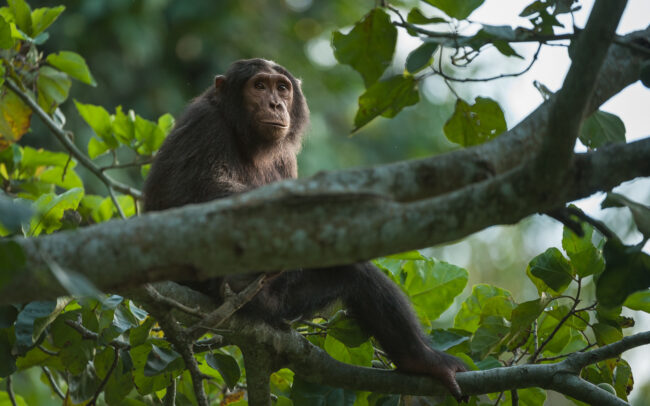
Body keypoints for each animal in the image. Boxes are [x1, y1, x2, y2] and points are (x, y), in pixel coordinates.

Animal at [143, 58, 467, 400]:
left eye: (282, 88)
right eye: (259, 86)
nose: (275, 103)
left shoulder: (286, 158)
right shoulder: (203, 125)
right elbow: (190, 198)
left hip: (279, 302)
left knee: (357, 275)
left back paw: (422, 360)